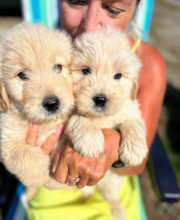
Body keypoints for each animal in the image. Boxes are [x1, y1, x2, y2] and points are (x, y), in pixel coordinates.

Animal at [0, 21, 74, 188]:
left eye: (58, 67)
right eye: (22, 75)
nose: (52, 104)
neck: (43, 123)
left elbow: (60, 151)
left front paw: (55, 180)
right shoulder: (8, 142)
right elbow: (28, 158)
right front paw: (43, 178)